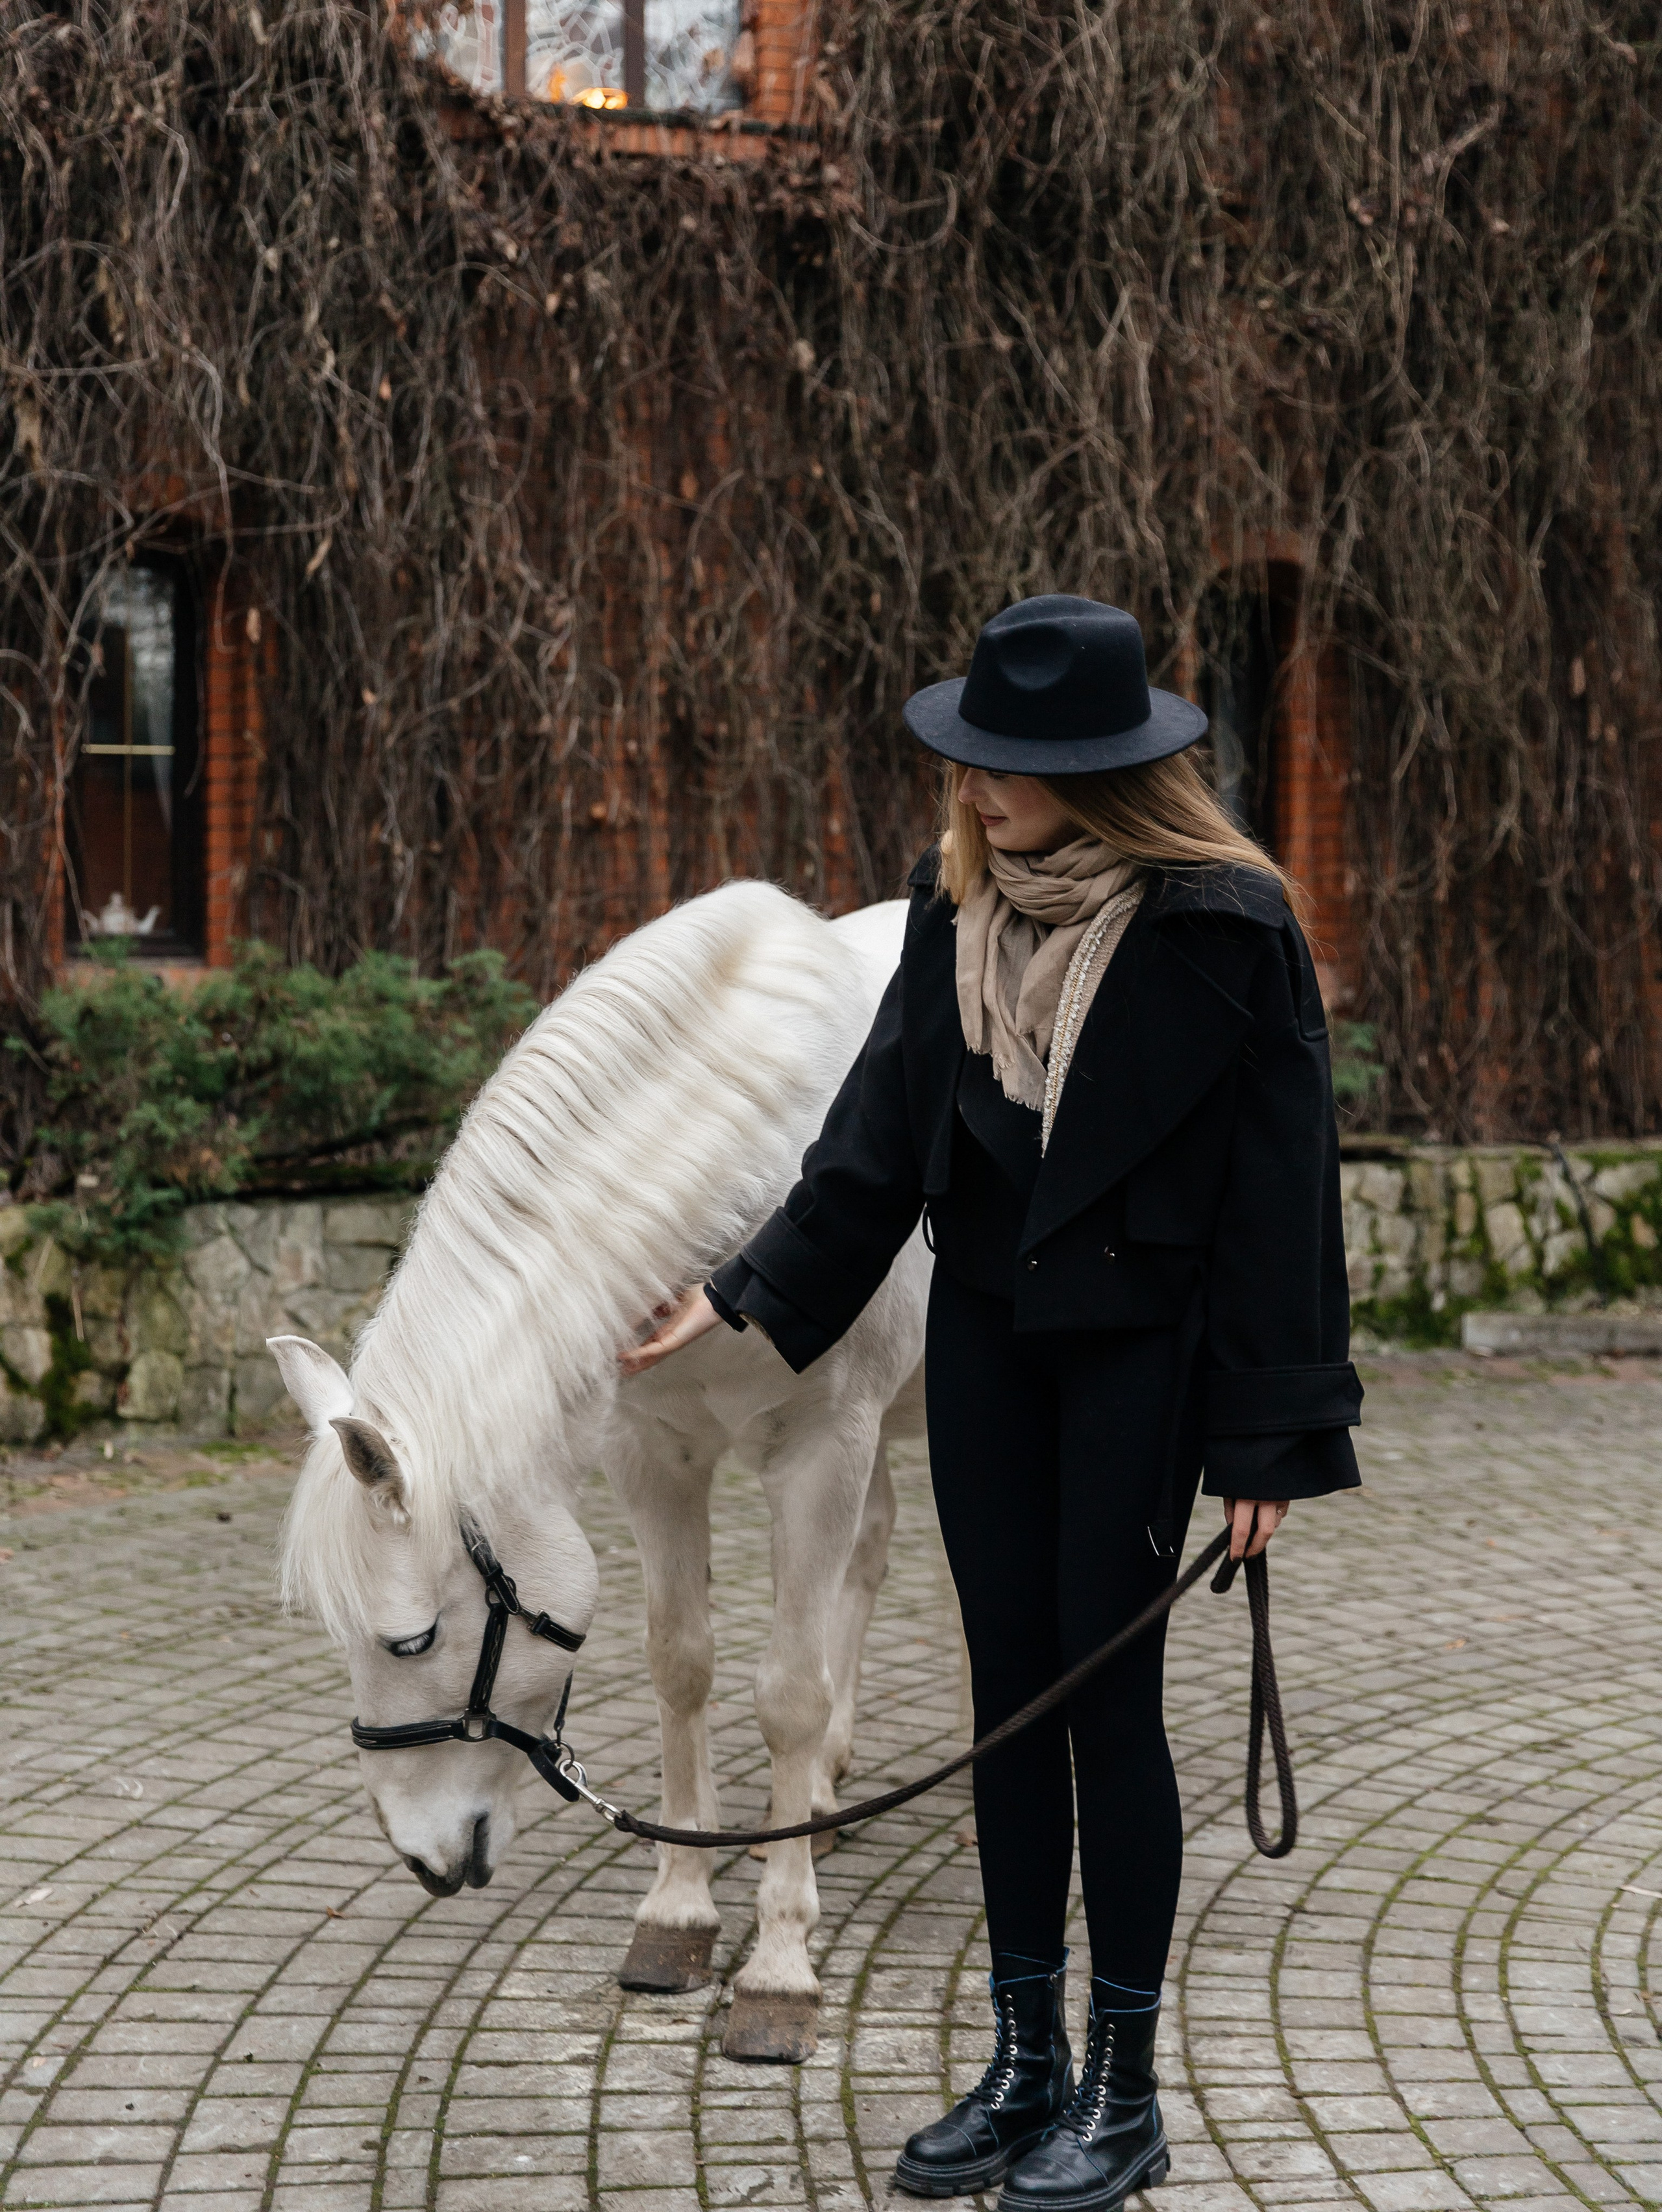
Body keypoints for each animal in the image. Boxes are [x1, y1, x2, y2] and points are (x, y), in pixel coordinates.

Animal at [271, 880, 930, 2062]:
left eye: (413, 1639)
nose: (420, 1858)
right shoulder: (653, 1453)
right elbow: (683, 1665)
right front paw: (680, 1911)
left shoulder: (826, 1446)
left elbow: (788, 1693)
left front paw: (778, 1963)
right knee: (870, 1555)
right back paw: (820, 1798)